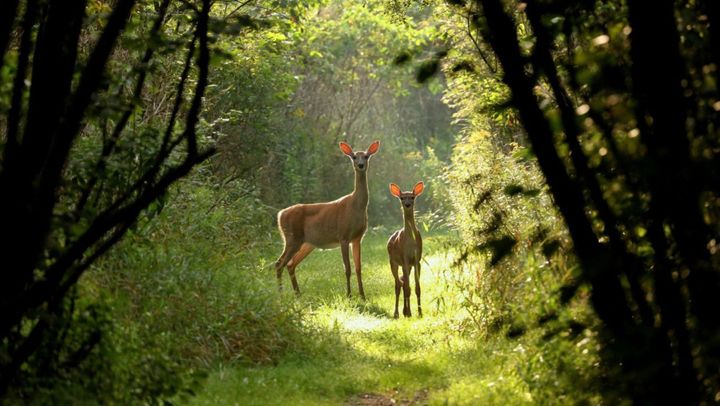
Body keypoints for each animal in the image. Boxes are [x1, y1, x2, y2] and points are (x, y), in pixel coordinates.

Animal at [272, 141, 380, 300]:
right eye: (354, 156)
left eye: (366, 156)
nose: (360, 165)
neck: (356, 206)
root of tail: (280, 215)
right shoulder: (343, 235)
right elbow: (347, 268)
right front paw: (348, 295)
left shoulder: (357, 238)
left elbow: (358, 268)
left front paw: (362, 296)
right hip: (292, 237)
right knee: (279, 263)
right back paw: (281, 295)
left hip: (306, 243)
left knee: (291, 264)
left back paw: (298, 294)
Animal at [386, 181, 424, 318]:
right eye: (402, 198)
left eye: (412, 197)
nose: (407, 204)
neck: (410, 243)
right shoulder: (405, 259)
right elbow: (407, 288)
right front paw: (410, 312)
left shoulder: (417, 260)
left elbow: (417, 288)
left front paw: (420, 312)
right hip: (393, 262)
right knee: (398, 284)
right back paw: (397, 313)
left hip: (406, 265)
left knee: (402, 282)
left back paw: (405, 311)